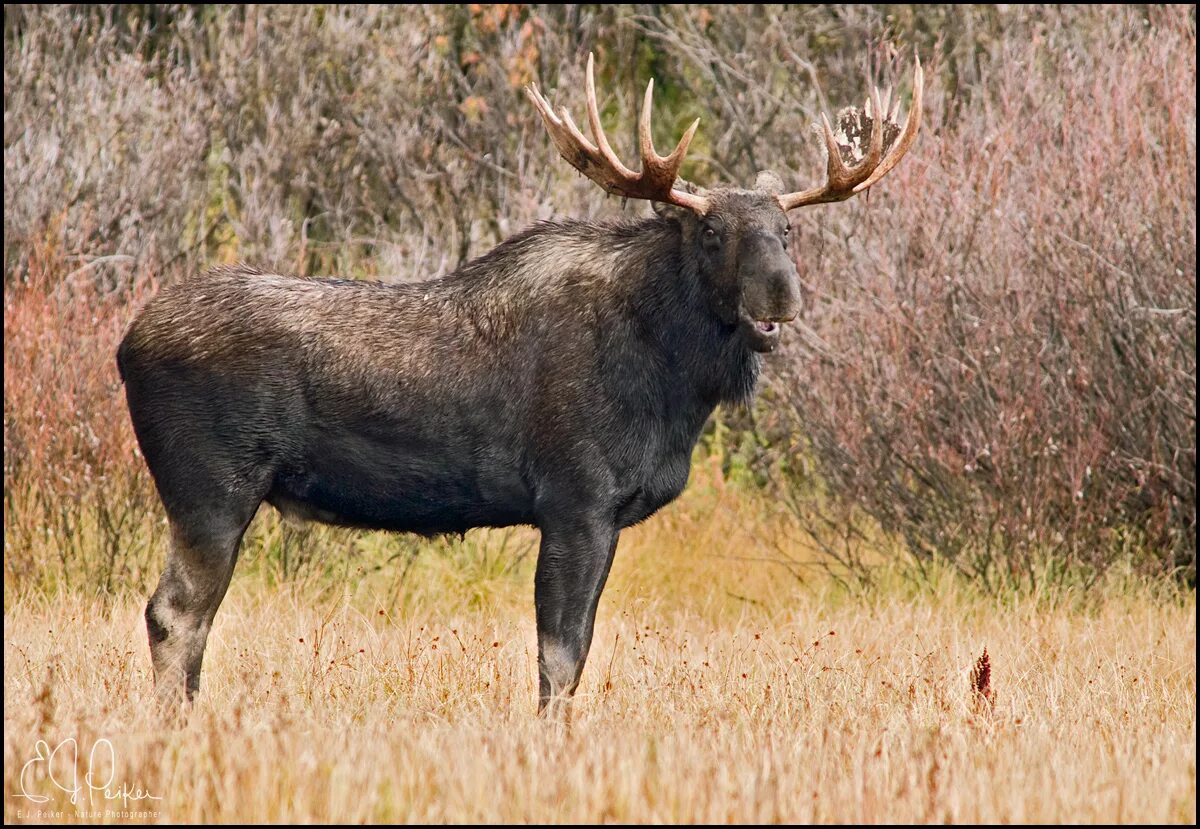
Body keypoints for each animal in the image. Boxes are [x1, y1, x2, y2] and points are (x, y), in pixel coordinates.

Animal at [121, 53, 921, 715]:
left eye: (788, 233)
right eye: (711, 233)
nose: (782, 294)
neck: (672, 390)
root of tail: (126, 345)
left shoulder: (600, 515)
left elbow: (577, 650)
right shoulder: (575, 501)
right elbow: (561, 657)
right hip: (211, 490)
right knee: (174, 614)